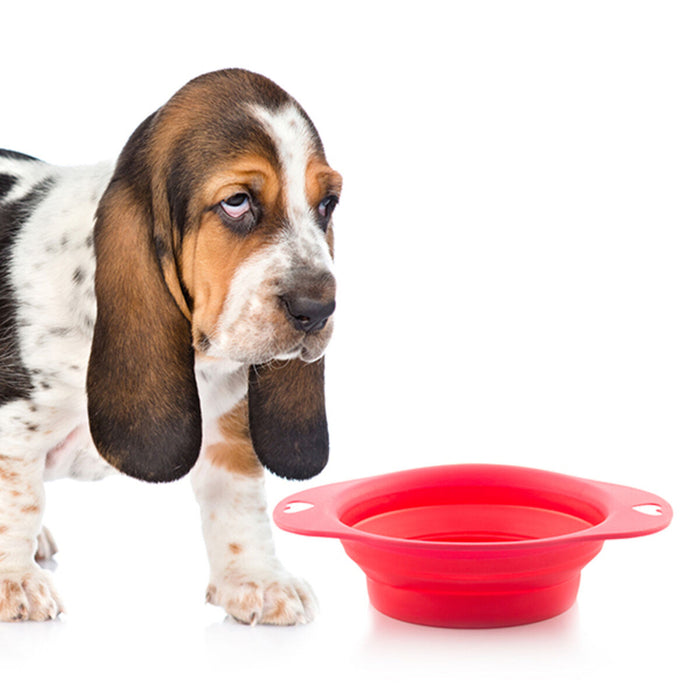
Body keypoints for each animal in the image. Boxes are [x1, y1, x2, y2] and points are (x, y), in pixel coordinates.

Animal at [0, 67, 342, 624]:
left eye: (328, 204)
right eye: (237, 202)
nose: (317, 308)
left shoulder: (230, 425)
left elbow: (238, 501)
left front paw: (257, 579)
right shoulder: (15, 428)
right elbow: (17, 500)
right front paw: (14, 582)